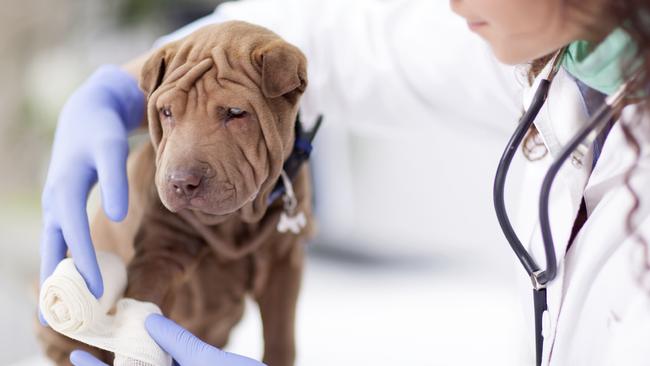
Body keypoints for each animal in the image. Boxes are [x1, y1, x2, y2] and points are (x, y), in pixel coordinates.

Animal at [36, 20, 316, 366]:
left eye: (236, 112)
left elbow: (280, 336)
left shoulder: (284, 260)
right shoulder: (159, 251)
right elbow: (144, 309)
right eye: (167, 112)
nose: (181, 182)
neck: (235, 222)